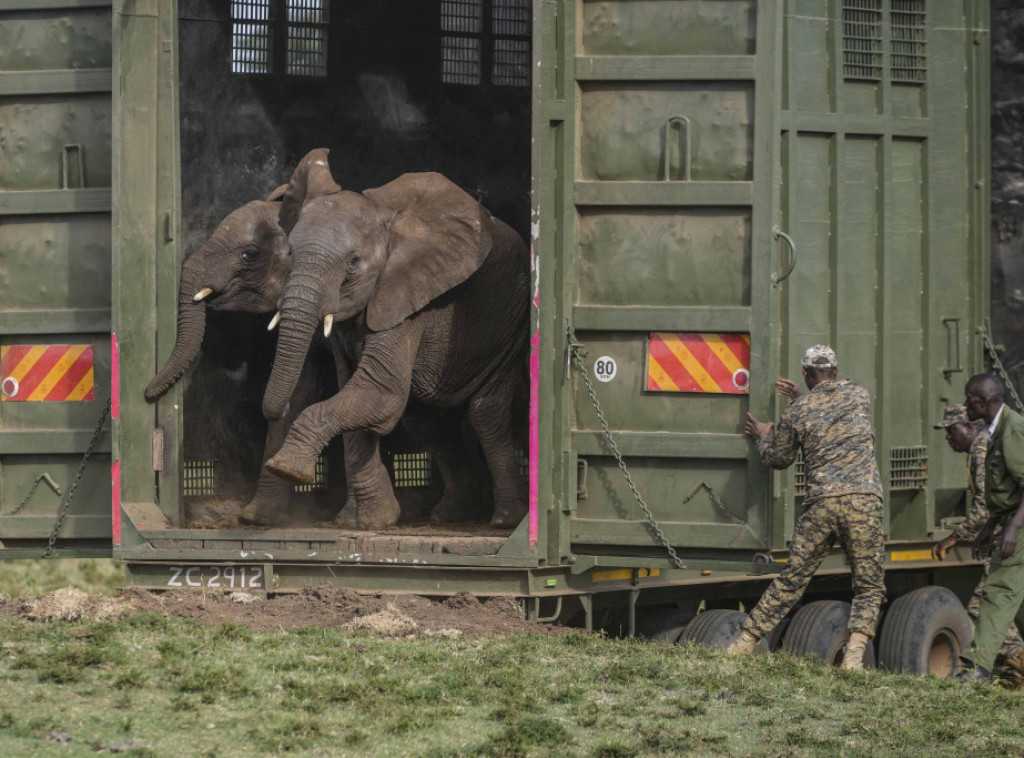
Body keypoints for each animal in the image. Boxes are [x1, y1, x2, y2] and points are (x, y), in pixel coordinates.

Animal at [260, 153, 532, 528]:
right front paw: (372, 521)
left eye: (354, 261)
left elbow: (380, 392)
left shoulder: (407, 298)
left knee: (484, 413)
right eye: (289, 254)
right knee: (424, 422)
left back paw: (505, 520)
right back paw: (450, 515)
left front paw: (287, 468)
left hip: (511, 322)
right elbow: (355, 393)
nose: (276, 409)